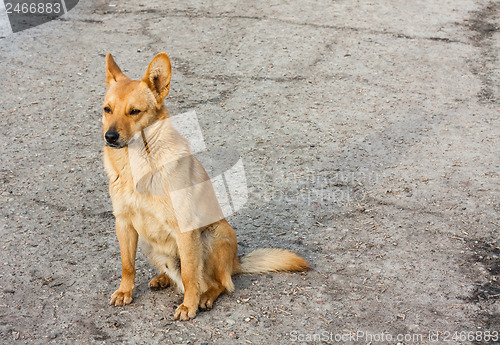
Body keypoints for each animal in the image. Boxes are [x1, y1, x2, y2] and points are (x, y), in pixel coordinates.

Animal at [101, 52, 308, 318]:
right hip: (150, 245)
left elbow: (190, 275)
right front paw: (125, 291)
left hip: (213, 235)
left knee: (218, 282)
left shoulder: (185, 230)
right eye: (107, 109)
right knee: (177, 274)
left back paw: (205, 297)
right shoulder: (124, 224)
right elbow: (127, 265)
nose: (110, 137)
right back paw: (163, 279)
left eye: (134, 111)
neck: (137, 166)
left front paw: (189, 305)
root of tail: (235, 262)